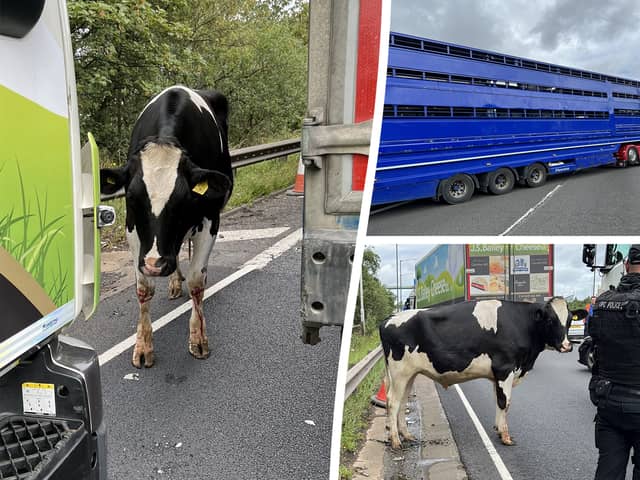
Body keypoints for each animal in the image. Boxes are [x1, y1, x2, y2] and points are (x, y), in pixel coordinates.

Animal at [102, 85, 235, 368]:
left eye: (183, 199)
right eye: (131, 196)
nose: (156, 265)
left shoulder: (210, 219)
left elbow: (196, 281)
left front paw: (198, 339)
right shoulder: (134, 231)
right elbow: (143, 288)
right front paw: (143, 347)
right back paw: (174, 282)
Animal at [378, 298, 588, 448]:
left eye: (569, 320)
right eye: (550, 320)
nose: (567, 346)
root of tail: (388, 318)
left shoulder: (497, 374)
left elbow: (497, 399)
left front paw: (498, 429)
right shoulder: (505, 368)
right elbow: (505, 402)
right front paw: (506, 437)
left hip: (409, 374)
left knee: (402, 401)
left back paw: (407, 435)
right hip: (399, 372)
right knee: (393, 402)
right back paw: (396, 441)